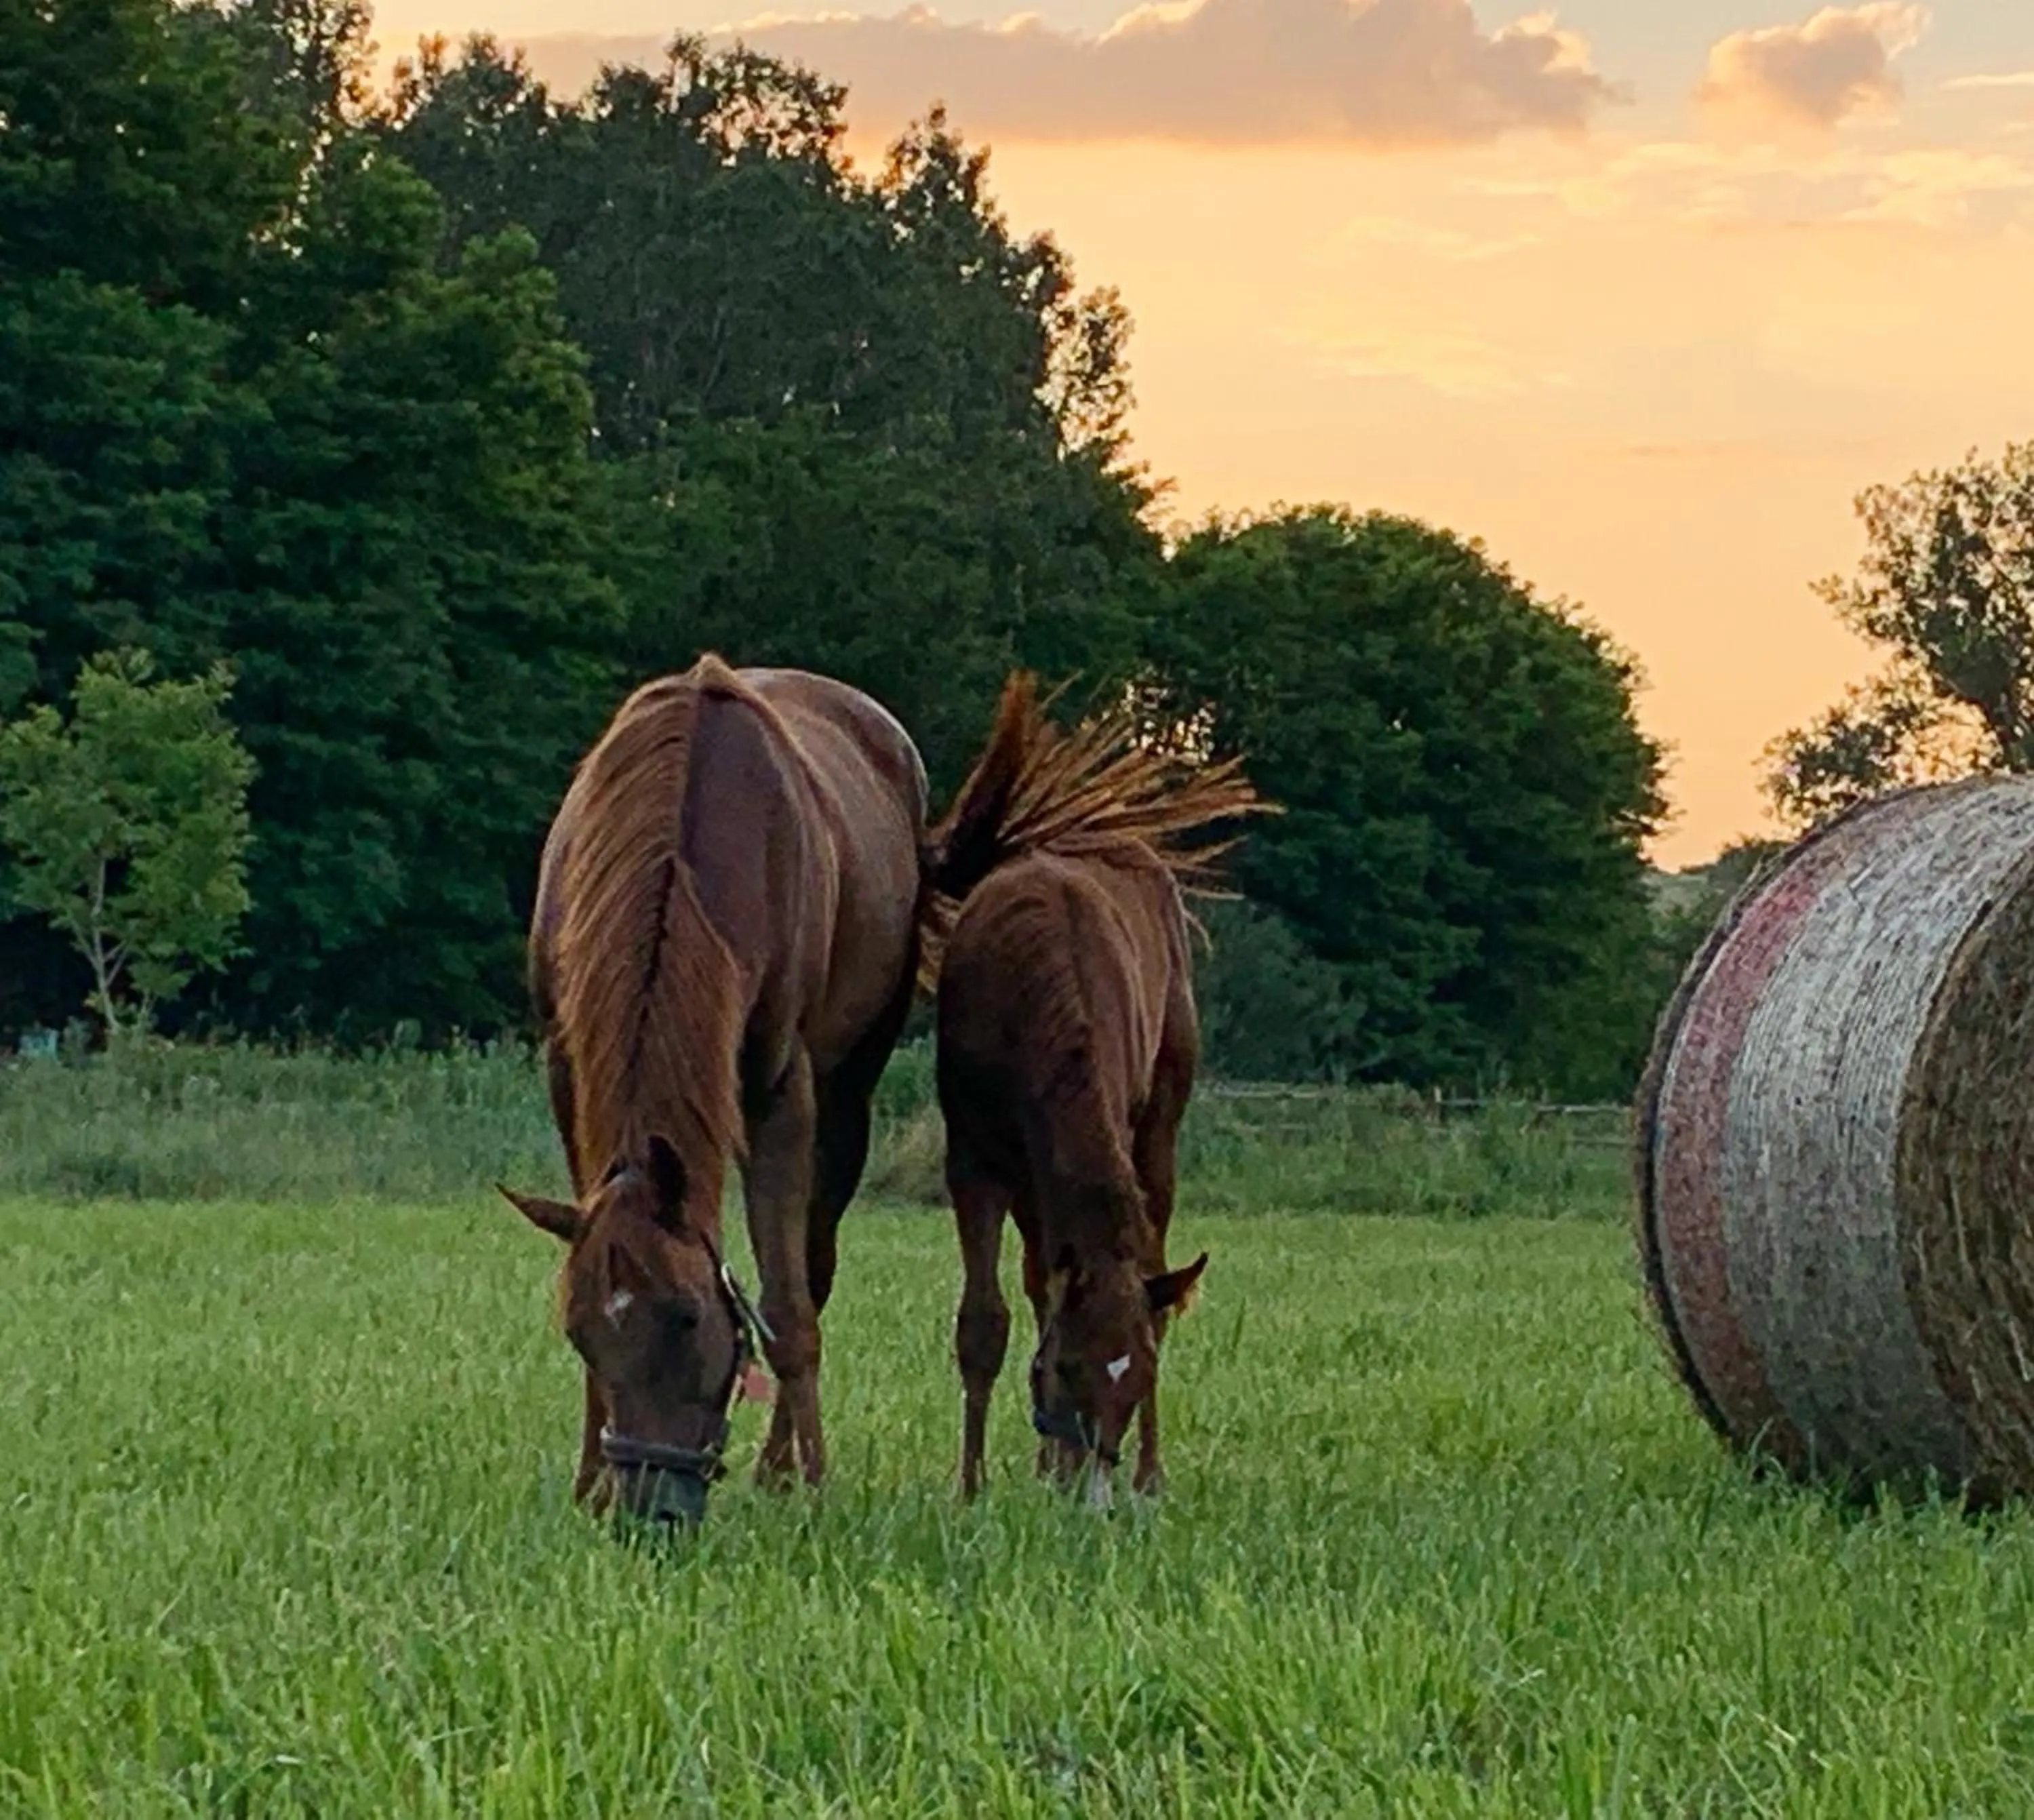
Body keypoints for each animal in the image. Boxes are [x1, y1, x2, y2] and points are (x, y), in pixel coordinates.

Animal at [497, 655, 927, 1526]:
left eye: (687, 1315)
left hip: (852, 1087)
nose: (649, 1508)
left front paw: (811, 1483)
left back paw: (780, 1469)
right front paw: (588, 1481)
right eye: (579, 1330)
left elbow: (788, 1307)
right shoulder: (566, 1070)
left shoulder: (780, 1089)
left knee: (812, 1267)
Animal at [921, 677, 1270, 1505]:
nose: (1094, 1495)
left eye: (1138, 1376)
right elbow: (985, 1321)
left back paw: (1141, 1473)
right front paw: (971, 1486)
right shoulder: (974, 1160)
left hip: (1159, 1126)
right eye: (1068, 1368)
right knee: (1036, 1279)